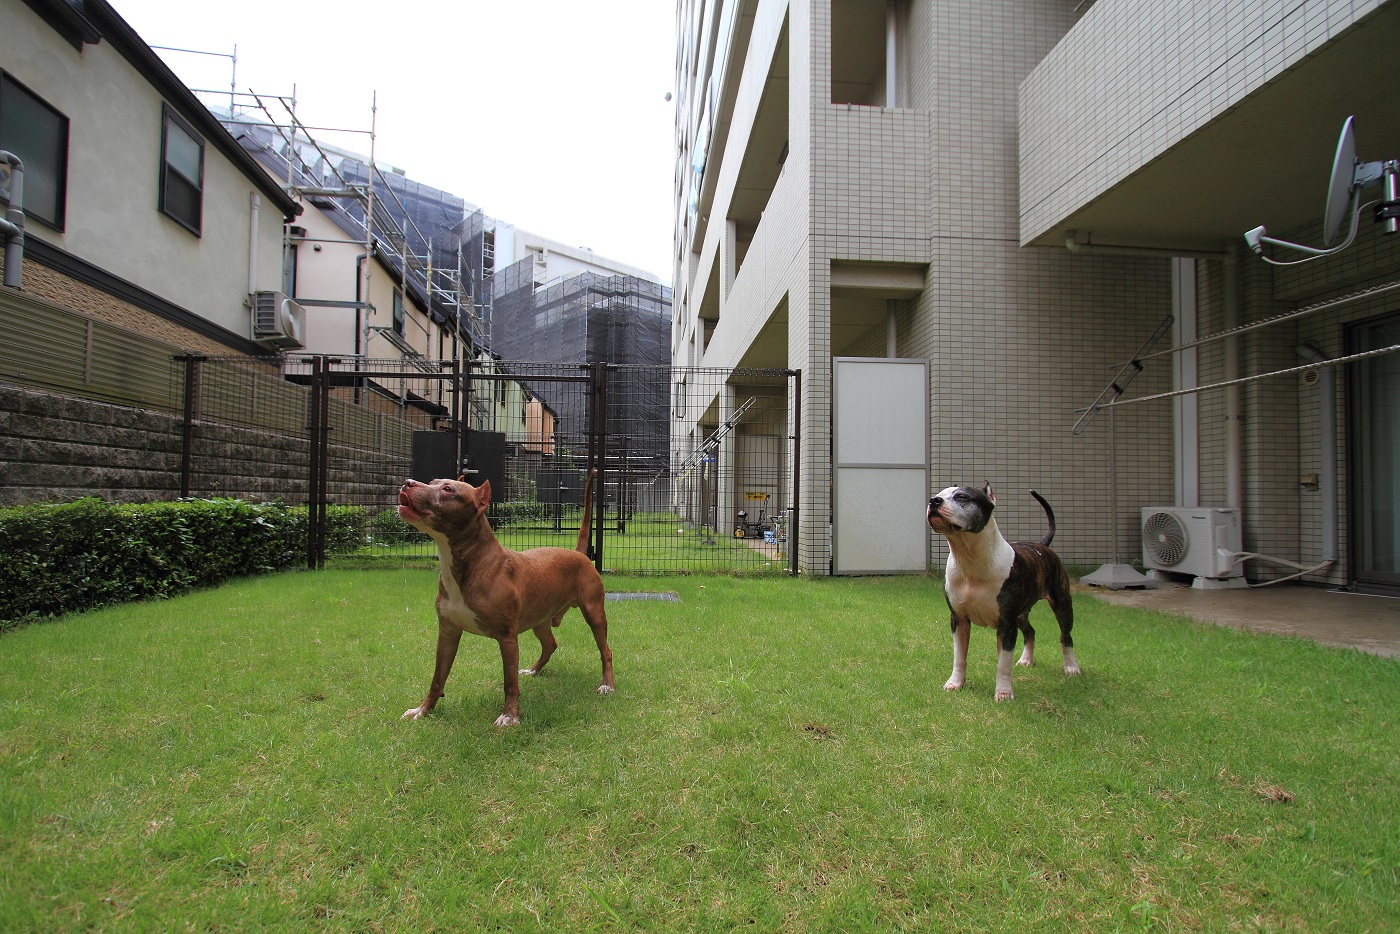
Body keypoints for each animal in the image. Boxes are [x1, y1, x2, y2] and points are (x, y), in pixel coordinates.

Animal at [396, 468, 614, 726]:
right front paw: (423, 710)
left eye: (448, 490)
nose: (407, 482)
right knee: (550, 644)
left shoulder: (507, 637)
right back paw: (534, 670)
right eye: (432, 482)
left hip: (594, 613)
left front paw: (510, 716)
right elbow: (437, 677)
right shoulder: (448, 632)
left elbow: (509, 682)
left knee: (605, 650)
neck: (469, 563)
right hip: (540, 619)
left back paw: (607, 685)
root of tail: (579, 554)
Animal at [927, 483, 1079, 701]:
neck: (969, 559)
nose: (933, 501)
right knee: (1030, 631)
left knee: (1065, 636)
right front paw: (955, 683)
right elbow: (959, 657)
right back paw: (1026, 660)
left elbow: (1003, 663)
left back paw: (1071, 667)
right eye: (938, 495)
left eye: (962, 497)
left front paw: (1004, 693)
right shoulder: (959, 619)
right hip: (1021, 613)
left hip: (1061, 604)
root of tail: (1041, 545)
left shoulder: (1007, 623)